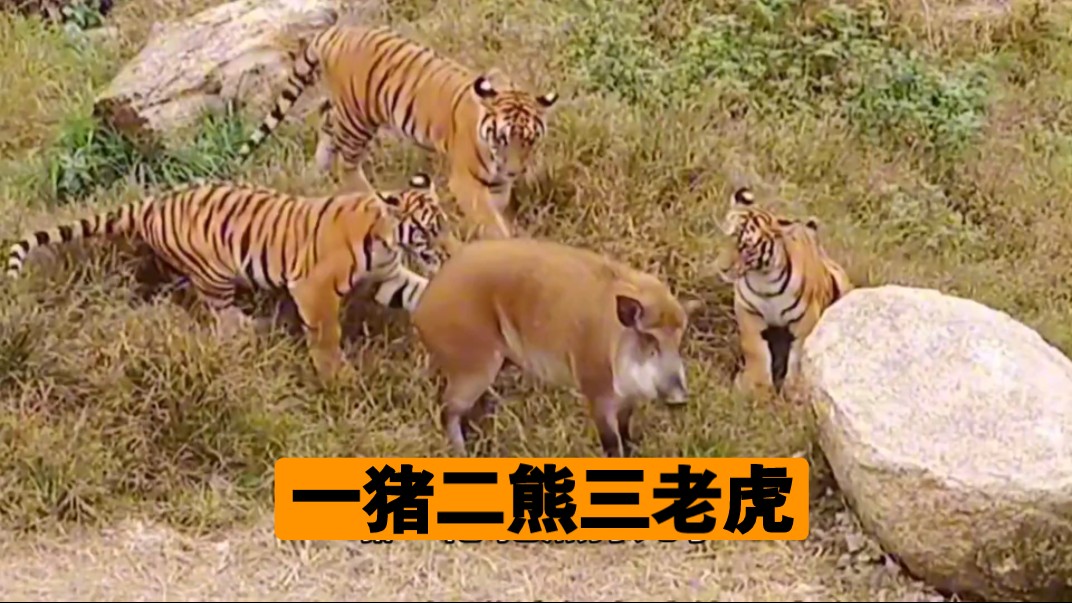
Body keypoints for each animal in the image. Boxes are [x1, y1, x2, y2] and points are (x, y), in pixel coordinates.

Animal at [5, 172, 457, 383]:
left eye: (445, 223)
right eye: (427, 229)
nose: (449, 252)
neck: (388, 240)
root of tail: (151, 204)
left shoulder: (387, 276)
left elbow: (419, 291)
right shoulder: (312, 287)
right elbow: (326, 334)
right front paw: (338, 377)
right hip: (216, 271)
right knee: (221, 319)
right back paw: (253, 328)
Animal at [233, 21, 560, 242]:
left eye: (530, 140)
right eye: (502, 138)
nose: (515, 171)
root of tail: (334, 32)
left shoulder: (498, 185)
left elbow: (499, 211)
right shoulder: (465, 182)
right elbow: (490, 221)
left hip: (343, 112)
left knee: (326, 122)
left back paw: (317, 171)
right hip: (358, 118)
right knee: (347, 163)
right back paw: (368, 197)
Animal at [716, 186, 854, 398]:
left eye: (746, 248)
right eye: (725, 236)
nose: (721, 268)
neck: (763, 279)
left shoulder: (807, 318)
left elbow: (798, 354)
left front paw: (794, 389)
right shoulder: (747, 310)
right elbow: (754, 348)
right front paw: (756, 386)